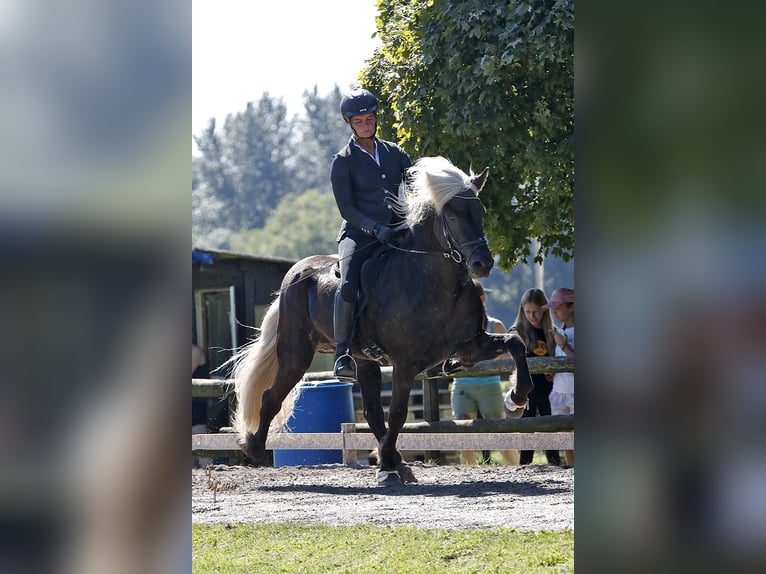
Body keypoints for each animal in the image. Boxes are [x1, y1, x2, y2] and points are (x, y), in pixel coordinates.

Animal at [230, 156, 534, 485]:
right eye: (452, 217)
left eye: (480, 213)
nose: (482, 263)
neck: (434, 281)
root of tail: (297, 272)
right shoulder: (405, 362)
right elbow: (398, 413)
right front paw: (385, 461)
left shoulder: (469, 347)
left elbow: (516, 343)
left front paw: (516, 400)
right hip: (296, 354)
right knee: (271, 396)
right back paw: (253, 447)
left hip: (363, 360)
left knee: (372, 411)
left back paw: (397, 463)